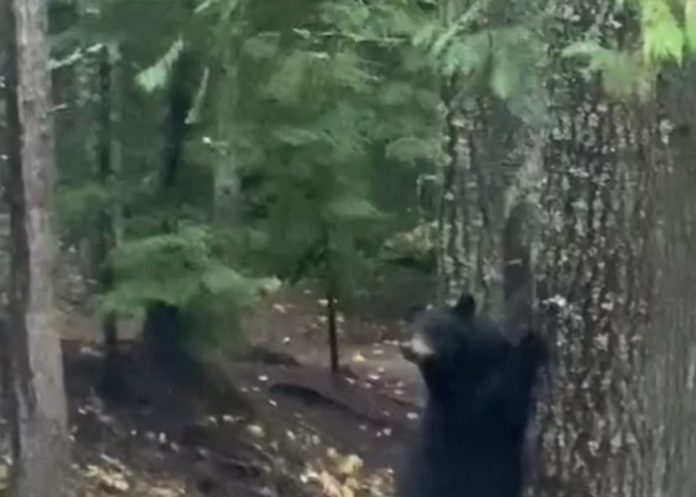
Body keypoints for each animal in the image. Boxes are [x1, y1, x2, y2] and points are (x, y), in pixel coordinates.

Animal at [396, 292, 548, 496]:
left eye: (432, 327)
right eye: (411, 329)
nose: (406, 348)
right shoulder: (457, 401)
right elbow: (493, 404)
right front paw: (532, 344)